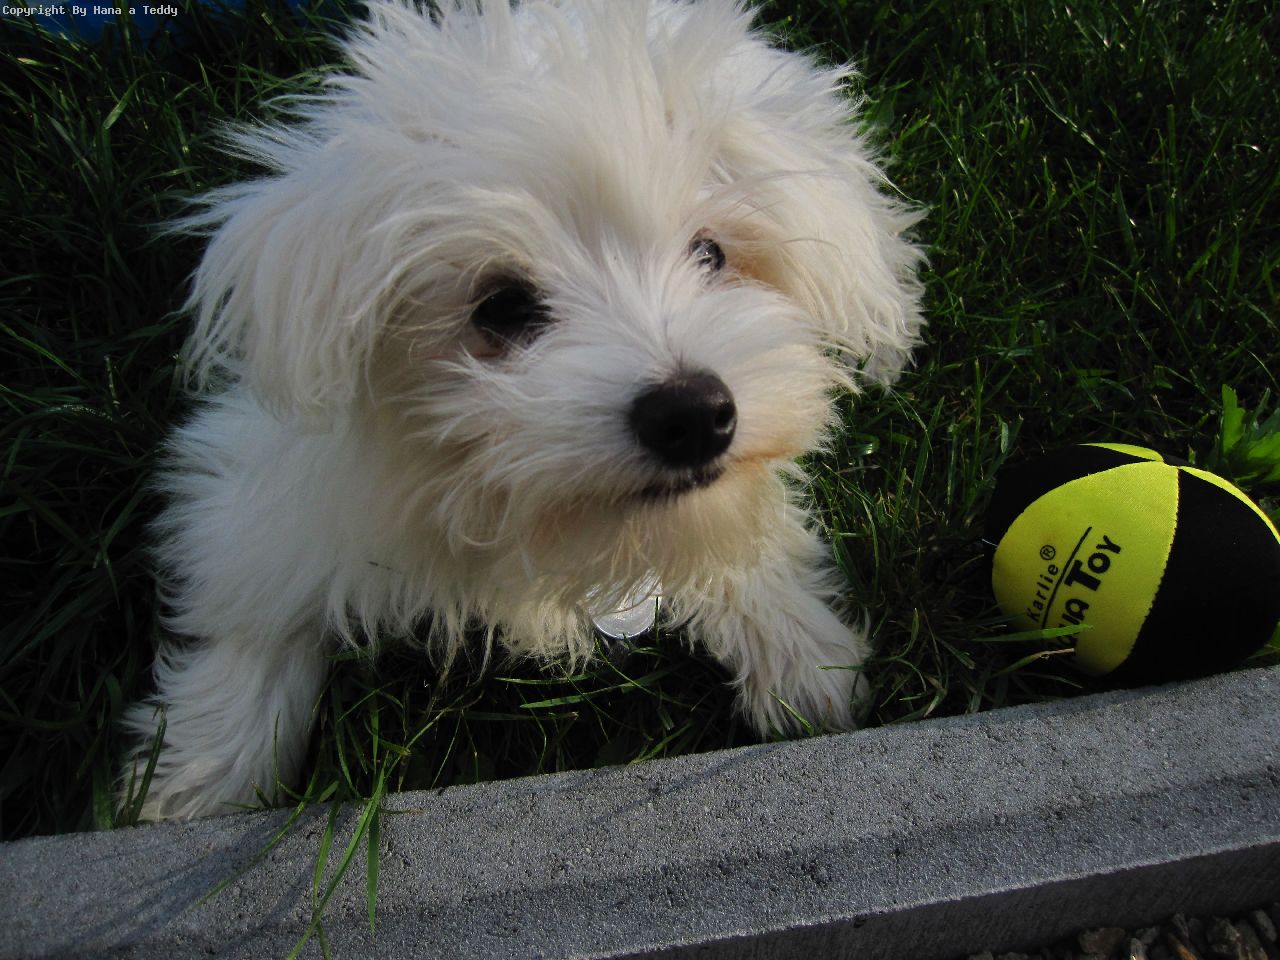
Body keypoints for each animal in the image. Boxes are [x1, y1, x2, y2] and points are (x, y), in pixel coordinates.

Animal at [122, 0, 924, 820]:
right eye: (501, 308)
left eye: (711, 254)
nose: (694, 415)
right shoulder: (267, 481)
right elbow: (259, 598)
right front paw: (203, 773)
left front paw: (799, 649)